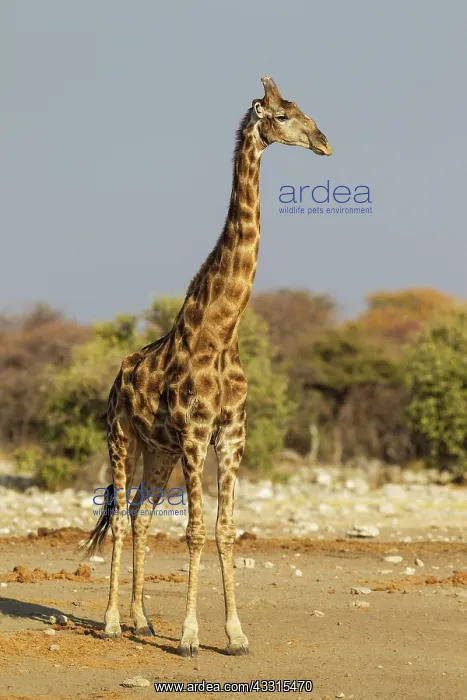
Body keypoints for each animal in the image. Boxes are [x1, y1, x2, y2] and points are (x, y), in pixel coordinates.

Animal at [84, 76, 332, 657]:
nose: (324, 142)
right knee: (122, 518)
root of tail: (118, 376)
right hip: (121, 437)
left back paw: (143, 621)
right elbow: (195, 530)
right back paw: (112, 622)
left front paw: (236, 635)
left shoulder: (232, 433)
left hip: (160, 451)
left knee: (140, 515)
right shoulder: (197, 433)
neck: (220, 332)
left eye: (303, 111)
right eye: (283, 115)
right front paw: (191, 637)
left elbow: (224, 530)